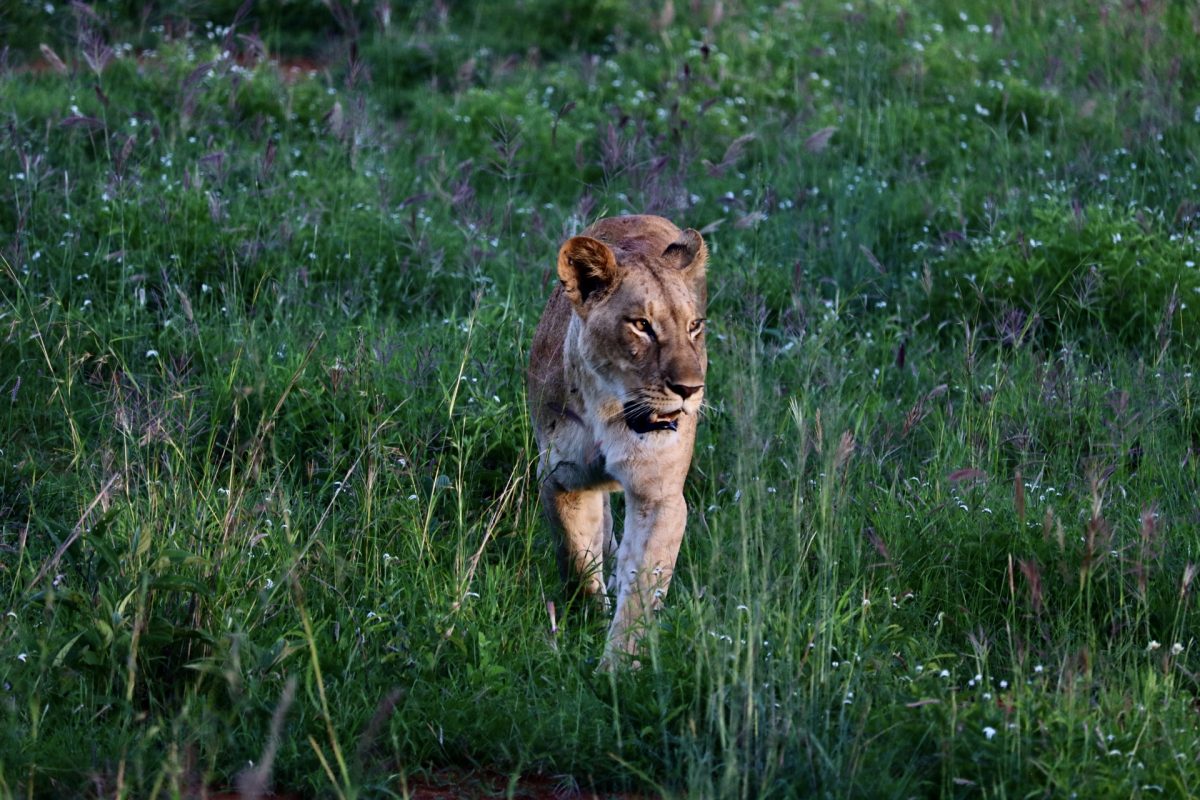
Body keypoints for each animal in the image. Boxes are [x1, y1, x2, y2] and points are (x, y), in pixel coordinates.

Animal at [528, 214, 708, 666]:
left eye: (694, 326)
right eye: (642, 325)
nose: (690, 389)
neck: (610, 409)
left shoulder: (659, 494)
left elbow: (642, 584)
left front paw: (618, 667)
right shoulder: (561, 478)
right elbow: (577, 558)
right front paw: (590, 620)